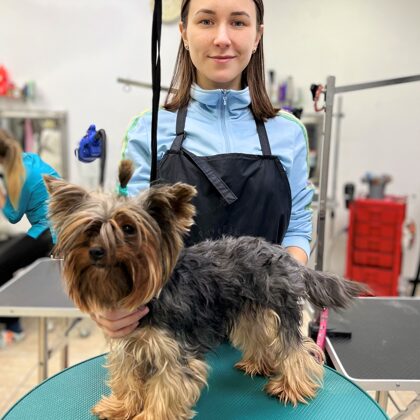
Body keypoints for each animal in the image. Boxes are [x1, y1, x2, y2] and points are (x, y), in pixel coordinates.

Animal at [44, 160, 366, 420]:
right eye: (90, 229)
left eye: (128, 229)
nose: (97, 251)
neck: (148, 294)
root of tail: (282, 255)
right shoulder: (128, 344)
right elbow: (126, 378)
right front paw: (120, 406)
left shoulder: (174, 354)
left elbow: (166, 389)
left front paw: (150, 416)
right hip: (250, 310)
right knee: (259, 335)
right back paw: (257, 364)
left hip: (280, 308)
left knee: (297, 350)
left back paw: (291, 386)